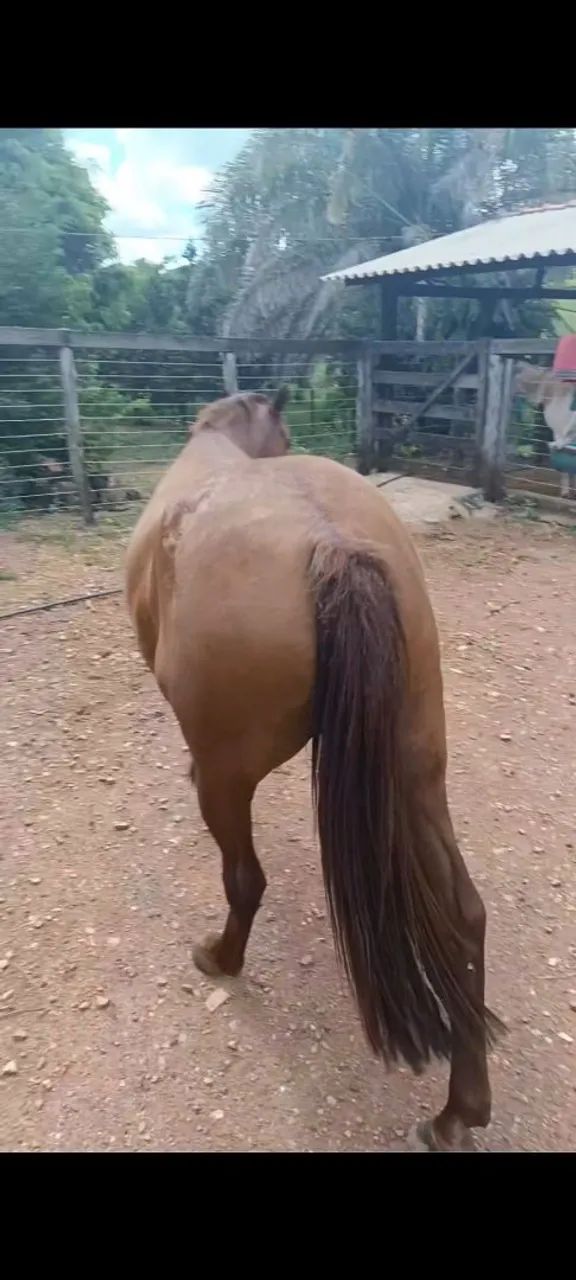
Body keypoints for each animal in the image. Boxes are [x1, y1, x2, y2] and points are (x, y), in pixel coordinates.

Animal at [125, 389, 503, 1152]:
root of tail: (332, 546)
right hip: (417, 774)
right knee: (464, 912)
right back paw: (458, 1111)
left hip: (231, 780)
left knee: (245, 879)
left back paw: (220, 958)